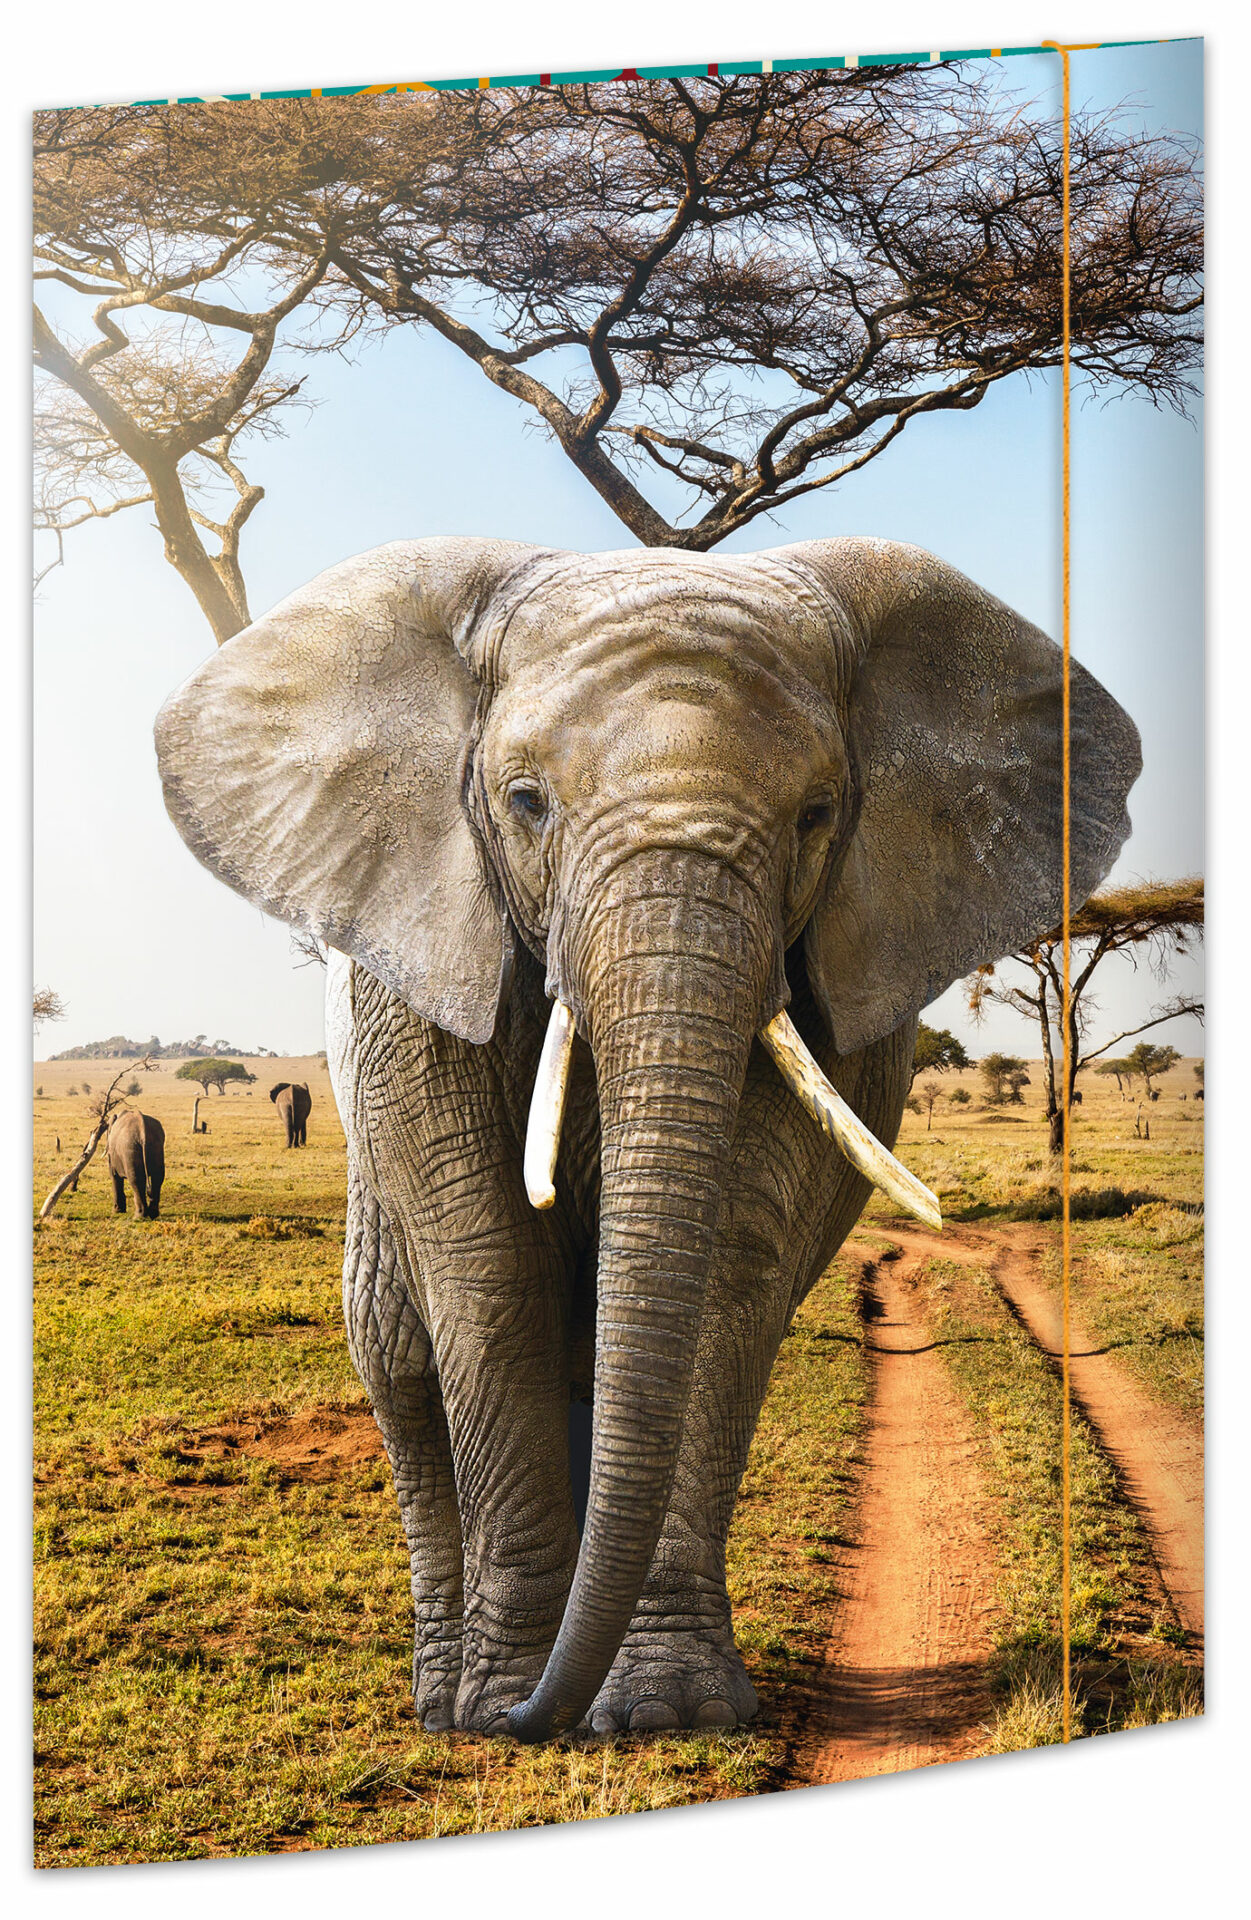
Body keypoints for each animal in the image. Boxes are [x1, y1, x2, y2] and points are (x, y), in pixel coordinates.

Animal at [154, 536, 1139, 1742]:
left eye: (817, 814)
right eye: (525, 802)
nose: (532, 1715)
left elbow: (721, 1268)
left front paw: (667, 1712)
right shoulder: (416, 974)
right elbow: (488, 1271)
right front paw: (503, 1705)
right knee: (397, 1351)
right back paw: (445, 1697)